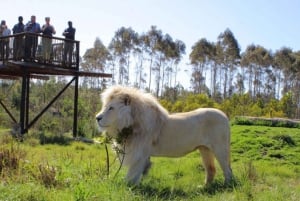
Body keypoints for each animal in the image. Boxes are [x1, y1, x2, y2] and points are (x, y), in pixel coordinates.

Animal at [95, 85, 233, 185]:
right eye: (105, 106)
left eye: (111, 108)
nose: (97, 118)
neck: (132, 121)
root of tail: (225, 116)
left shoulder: (138, 153)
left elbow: (132, 174)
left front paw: (128, 187)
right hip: (205, 149)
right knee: (211, 169)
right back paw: (204, 187)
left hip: (220, 148)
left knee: (228, 170)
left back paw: (227, 186)